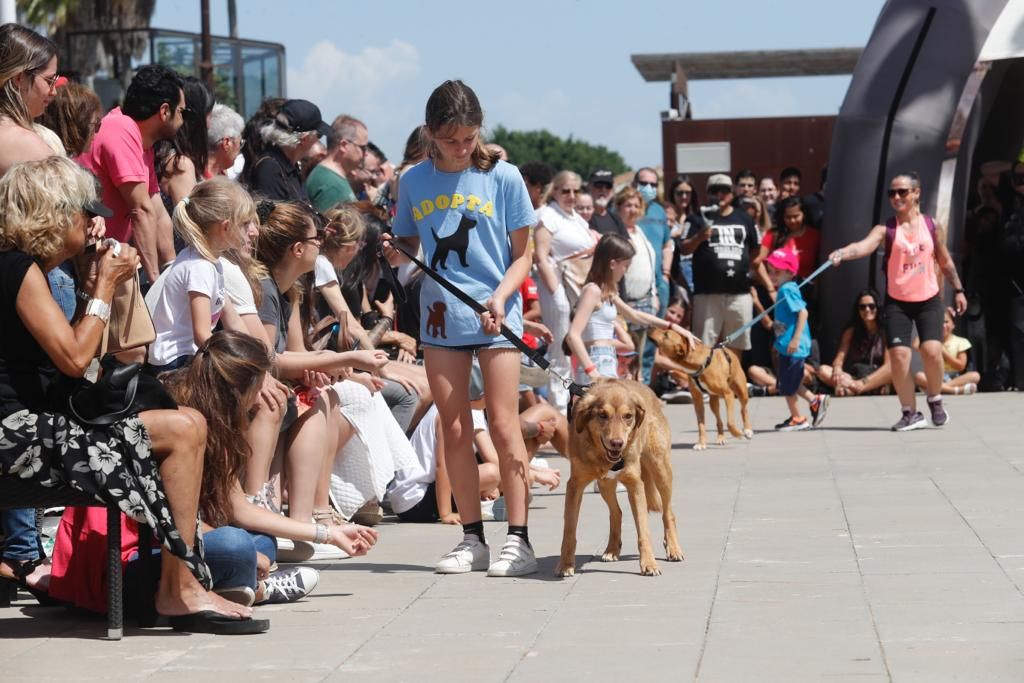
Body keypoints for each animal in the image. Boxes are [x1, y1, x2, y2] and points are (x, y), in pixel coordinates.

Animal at [557, 378, 684, 577]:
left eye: (628, 416)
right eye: (602, 415)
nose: (617, 443)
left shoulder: (635, 485)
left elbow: (643, 531)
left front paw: (649, 564)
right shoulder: (574, 486)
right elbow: (569, 531)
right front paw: (565, 564)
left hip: (660, 469)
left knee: (668, 513)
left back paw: (674, 548)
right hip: (605, 484)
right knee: (616, 513)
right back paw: (611, 549)